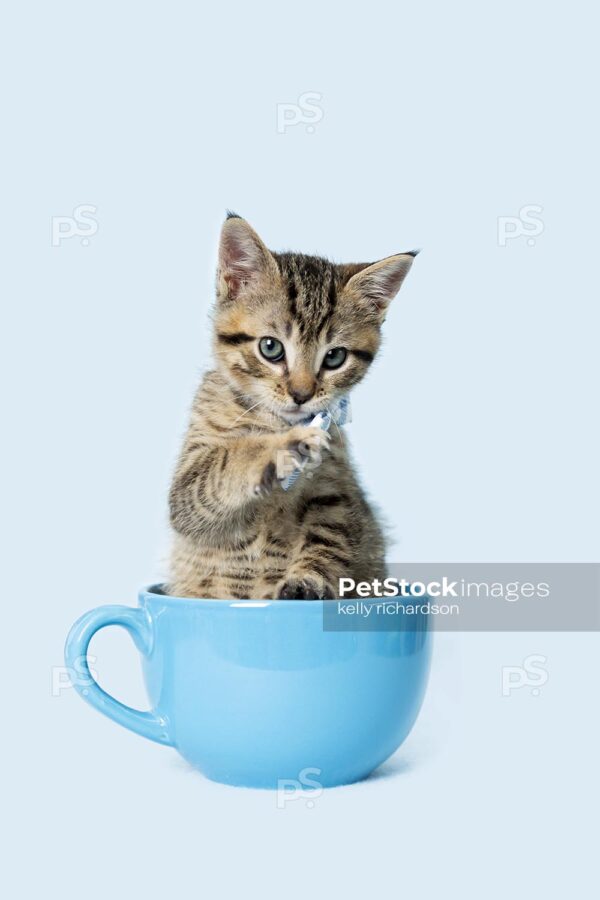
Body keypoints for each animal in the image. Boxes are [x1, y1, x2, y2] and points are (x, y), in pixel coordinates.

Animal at [166, 214, 414, 600]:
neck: (273, 420)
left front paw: (307, 581)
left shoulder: (336, 493)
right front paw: (283, 446)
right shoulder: (187, 490)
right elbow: (226, 462)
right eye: (271, 348)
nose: (301, 394)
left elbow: (329, 536)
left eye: (335, 356)